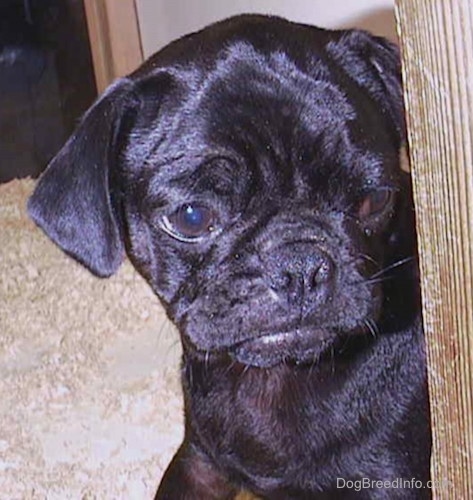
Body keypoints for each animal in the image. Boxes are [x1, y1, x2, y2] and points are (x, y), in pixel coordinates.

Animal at [27, 13, 430, 498]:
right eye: (192, 217)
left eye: (375, 199)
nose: (300, 266)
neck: (272, 379)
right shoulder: (198, 463)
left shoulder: (391, 481)